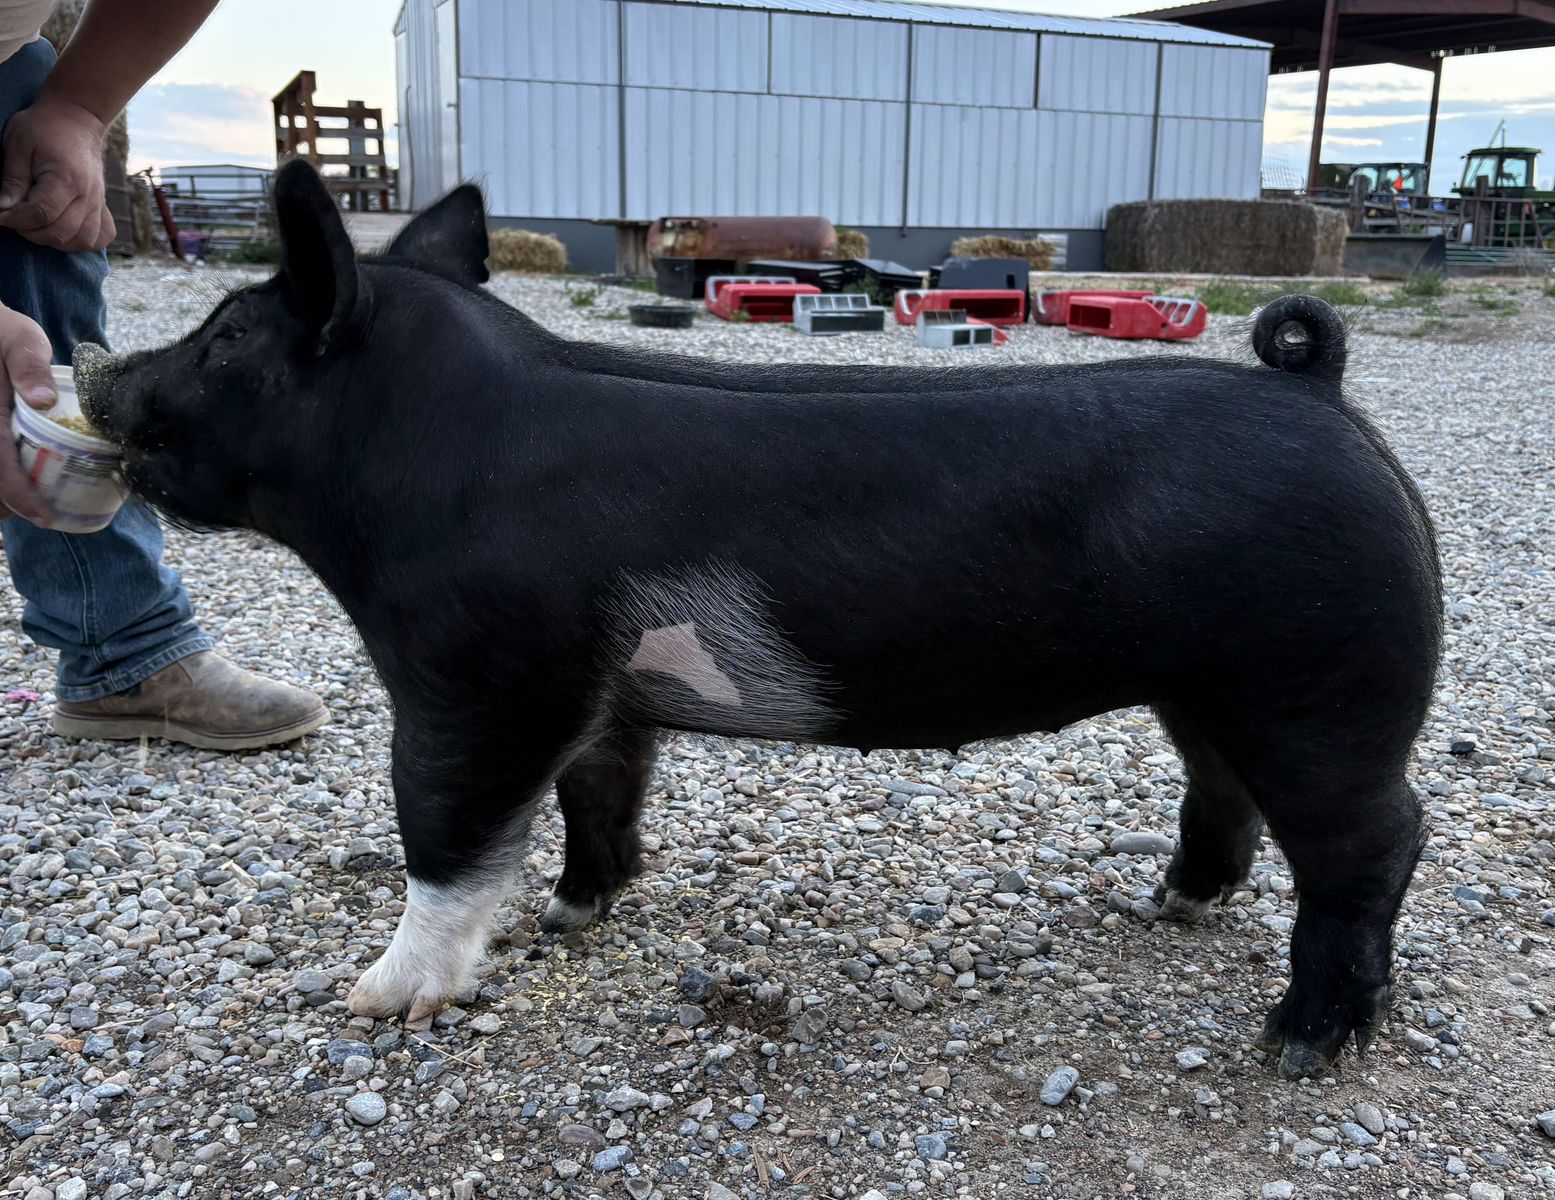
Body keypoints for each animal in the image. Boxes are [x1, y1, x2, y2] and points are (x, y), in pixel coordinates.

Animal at [79, 161, 1442, 1079]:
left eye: (230, 337)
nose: (99, 371)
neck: (416, 460)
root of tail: (1320, 392)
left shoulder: (477, 677)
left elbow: (443, 828)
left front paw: (375, 1003)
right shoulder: (604, 696)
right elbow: (598, 796)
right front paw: (575, 916)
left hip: (1322, 683)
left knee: (1374, 842)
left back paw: (1297, 1044)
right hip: (1210, 687)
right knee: (1227, 792)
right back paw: (1166, 906)